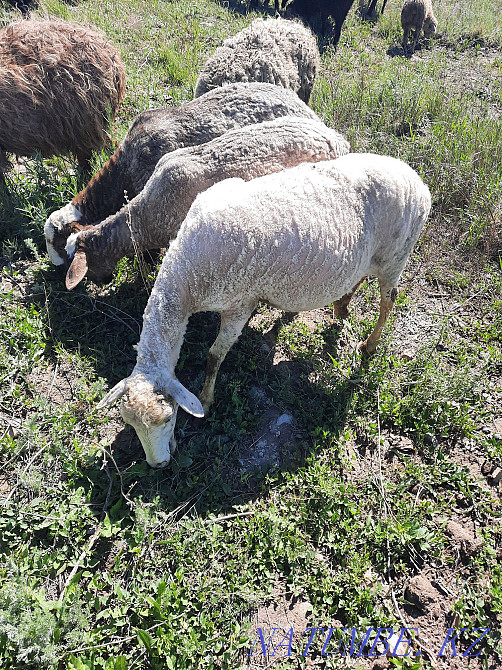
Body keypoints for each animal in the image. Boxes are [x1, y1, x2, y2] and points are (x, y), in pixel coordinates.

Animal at [97, 153, 431, 468]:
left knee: (389, 300)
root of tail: (416, 179)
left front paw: (206, 399)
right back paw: (342, 305)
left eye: (168, 418)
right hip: (371, 258)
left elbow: (214, 355)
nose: (159, 464)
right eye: (129, 423)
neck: (187, 274)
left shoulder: (240, 303)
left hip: (396, 256)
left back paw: (369, 345)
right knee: (359, 277)